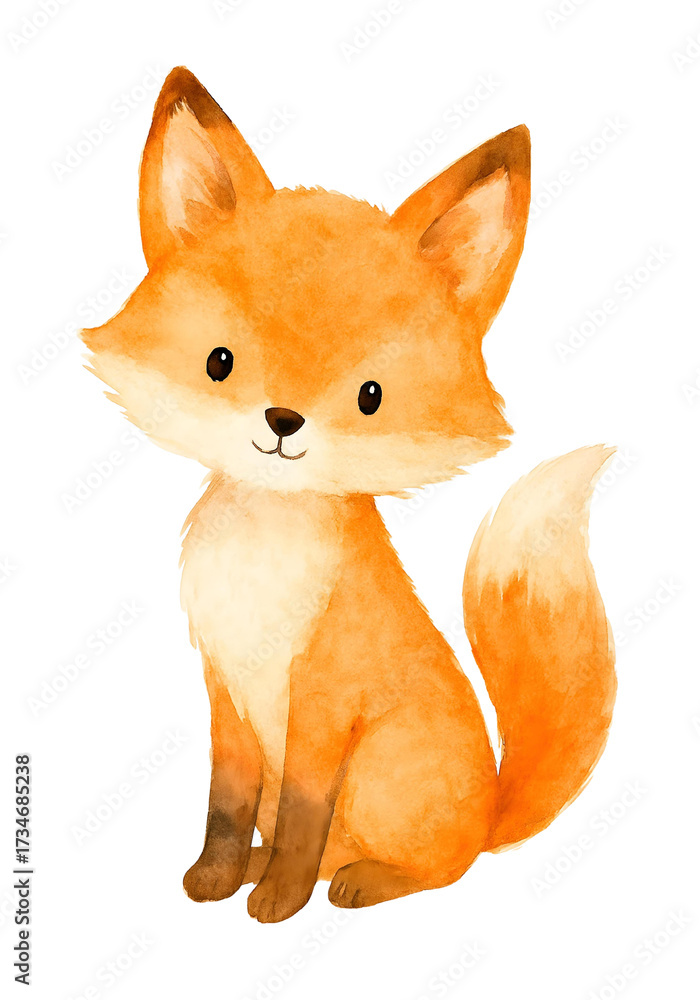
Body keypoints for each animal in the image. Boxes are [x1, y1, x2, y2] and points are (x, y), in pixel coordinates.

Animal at [81, 67, 617, 923]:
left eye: (370, 396)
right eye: (220, 361)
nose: (283, 422)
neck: (261, 564)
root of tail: (490, 811)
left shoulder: (325, 704)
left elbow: (305, 812)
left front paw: (278, 902)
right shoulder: (225, 692)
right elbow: (226, 802)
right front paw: (216, 877)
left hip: (386, 769)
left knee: (437, 868)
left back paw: (359, 884)